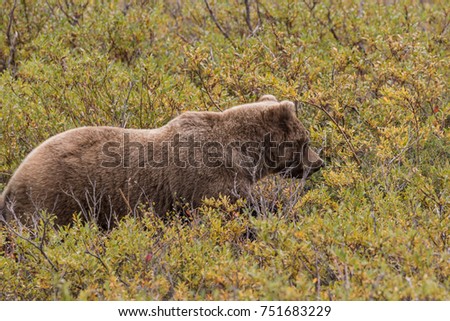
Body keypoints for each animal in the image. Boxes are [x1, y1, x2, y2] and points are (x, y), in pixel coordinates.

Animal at [0, 95, 324, 228]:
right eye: (306, 141)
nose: (319, 162)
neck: (244, 155)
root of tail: (13, 180)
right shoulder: (207, 175)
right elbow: (234, 205)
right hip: (59, 196)